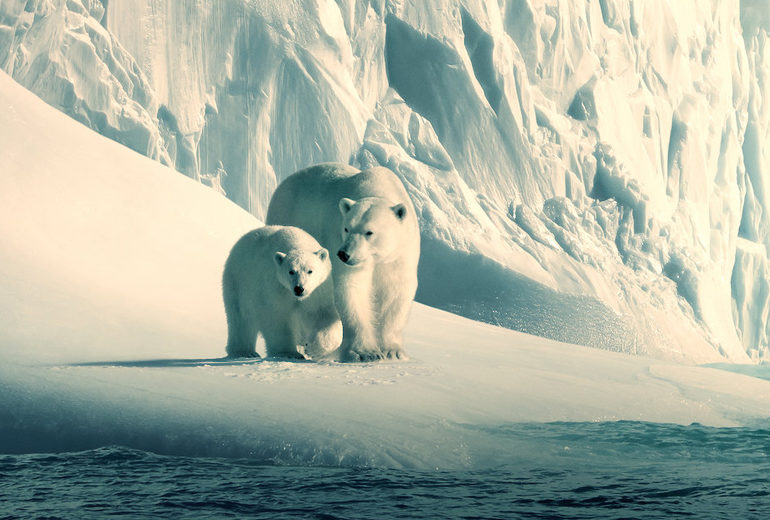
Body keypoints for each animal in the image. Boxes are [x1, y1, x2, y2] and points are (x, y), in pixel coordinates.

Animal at [224, 225, 340, 360]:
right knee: (240, 319)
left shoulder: (318, 291)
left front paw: (313, 348)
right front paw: (288, 353)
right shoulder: (275, 286)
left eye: (310, 271)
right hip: (238, 282)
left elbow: (321, 313)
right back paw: (244, 352)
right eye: (291, 271)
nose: (299, 288)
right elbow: (277, 316)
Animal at [266, 162, 420, 362]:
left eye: (369, 232)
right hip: (287, 216)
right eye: (347, 228)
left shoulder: (400, 254)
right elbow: (351, 288)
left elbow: (396, 292)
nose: (343, 254)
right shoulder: (336, 239)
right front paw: (365, 353)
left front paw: (393, 351)